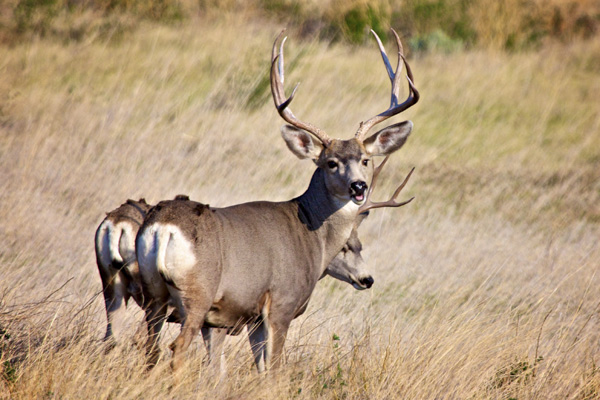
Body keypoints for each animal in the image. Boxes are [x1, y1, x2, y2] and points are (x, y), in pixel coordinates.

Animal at [135, 28, 418, 372]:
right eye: (331, 163)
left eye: (365, 159)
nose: (358, 186)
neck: (311, 232)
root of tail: (163, 228)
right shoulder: (282, 302)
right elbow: (274, 368)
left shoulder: (252, 317)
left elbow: (256, 367)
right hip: (197, 293)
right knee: (176, 349)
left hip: (153, 294)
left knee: (150, 348)